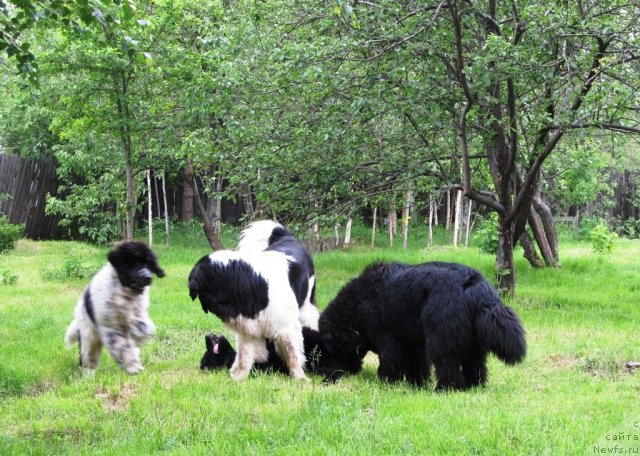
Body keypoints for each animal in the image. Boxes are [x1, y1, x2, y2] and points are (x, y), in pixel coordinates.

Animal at [64, 240, 165, 376]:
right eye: (136, 263)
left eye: (149, 265)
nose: (148, 277)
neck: (125, 290)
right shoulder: (110, 326)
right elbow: (121, 346)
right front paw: (132, 367)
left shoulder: (138, 312)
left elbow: (143, 326)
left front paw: (140, 336)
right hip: (88, 334)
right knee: (88, 355)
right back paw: (88, 374)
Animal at [318, 262, 528, 390]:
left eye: (328, 350)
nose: (324, 376)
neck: (357, 306)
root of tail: (475, 285)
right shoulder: (413, 342)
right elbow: (417, 364)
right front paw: (416, 384)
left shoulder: (388, 338)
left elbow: (391, 361)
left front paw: (387, 381)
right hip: (472, 341)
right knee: (476, 364)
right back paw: (473, 386)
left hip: (440, 336)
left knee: (447, 363)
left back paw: (445, 388)